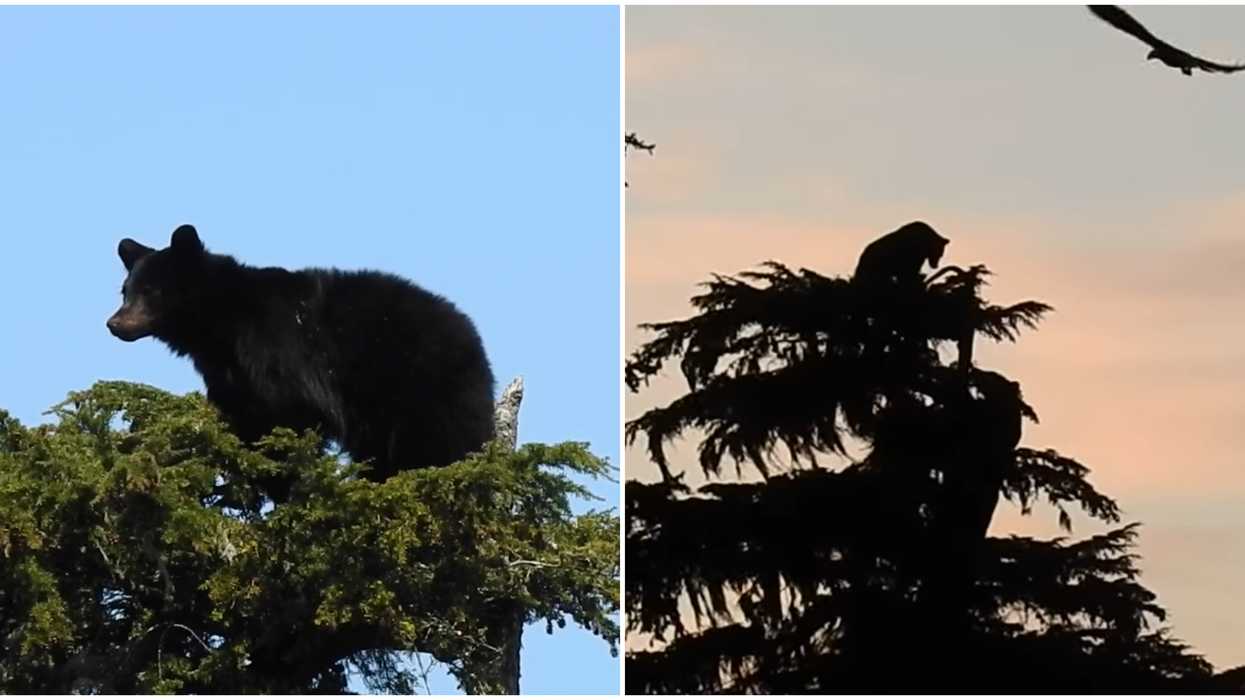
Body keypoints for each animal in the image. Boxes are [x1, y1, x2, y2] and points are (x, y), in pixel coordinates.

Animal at [107, 224, 496, 501]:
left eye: (151, 291)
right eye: (125, 290)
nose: (114, 323)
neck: (222, 324)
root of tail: (473, 338)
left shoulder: (277, 351)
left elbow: (291, 416)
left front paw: (290, 486)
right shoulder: (230, 375)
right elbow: (248, 422)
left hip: (423, 385)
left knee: (437, 443)